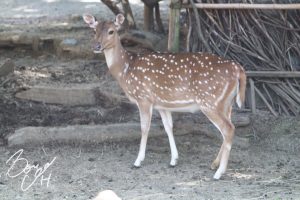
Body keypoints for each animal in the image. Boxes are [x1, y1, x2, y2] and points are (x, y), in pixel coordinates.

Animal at [82, 14, 246, 180]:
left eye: (111, 31)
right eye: (94, 30)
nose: (96, 46)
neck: (125, 70)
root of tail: (239, 69)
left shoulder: (143, 98)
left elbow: (144, 127)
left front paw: (138, 161)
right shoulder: (162, 104)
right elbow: (168, 127)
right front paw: (174, 160)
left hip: (210, 101)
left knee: (228, 129)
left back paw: (219, 173)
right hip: (226, 103)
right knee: (228, 128)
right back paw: (214, 164)